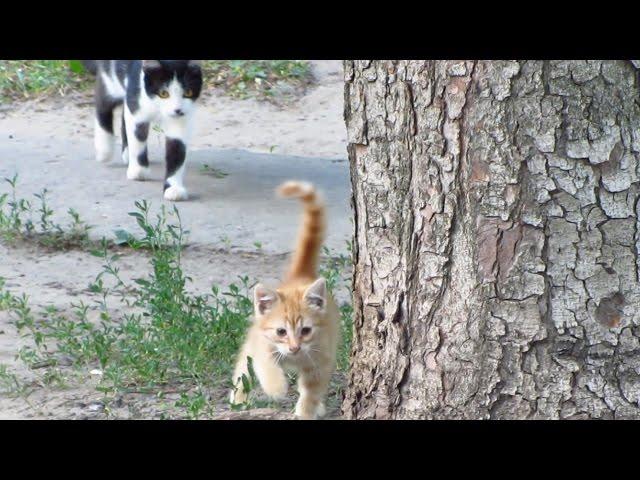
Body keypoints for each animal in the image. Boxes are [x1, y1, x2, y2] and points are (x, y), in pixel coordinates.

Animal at [86, 60, 202, 201]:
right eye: (164, 93)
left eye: (188, 92)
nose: (177, 110)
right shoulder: (136, 103)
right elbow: (138, 137)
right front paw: (138, 171)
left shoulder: (180, 121)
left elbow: (177, 149)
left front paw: (174, 188)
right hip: (111, 78)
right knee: (103, 102)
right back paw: (104, 150)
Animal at [230, 180, 340, 416]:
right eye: (281, 331)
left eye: (305, 330)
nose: (294, 347)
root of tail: (301, 276)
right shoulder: (261, 344)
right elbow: (265, 365)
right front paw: (277, 387)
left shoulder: (322, 358)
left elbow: (311, 391)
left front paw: (306, 412)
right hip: (251, 343)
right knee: (243, 368)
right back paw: (239, 398)